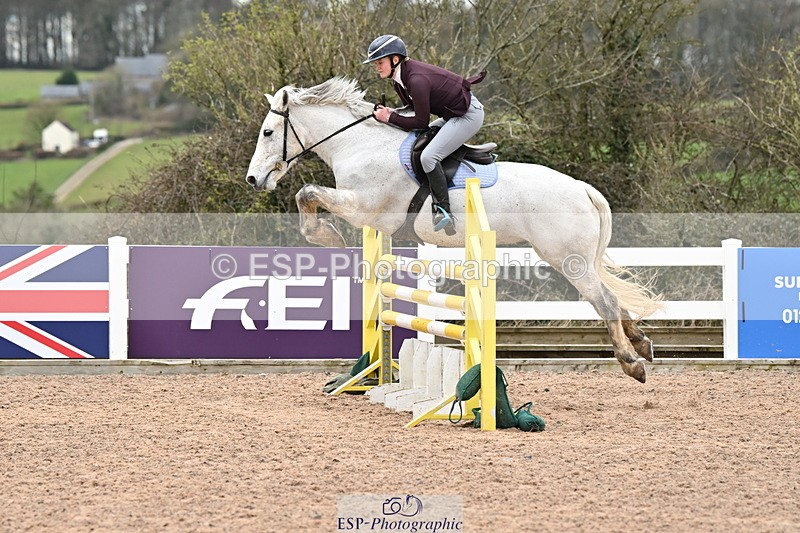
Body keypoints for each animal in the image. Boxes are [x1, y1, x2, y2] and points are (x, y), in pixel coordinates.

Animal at [246, 77, 661, 383]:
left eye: (268, 133)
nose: (253, 179)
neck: (358, 145)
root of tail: (583, 189)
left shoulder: (365, 207)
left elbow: (306, 193)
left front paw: (328, 237)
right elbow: (309, 196)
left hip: (567, 259)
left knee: (605, 301)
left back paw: (631, 361)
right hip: (575, 259)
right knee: (611, 296)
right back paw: (641, 342)